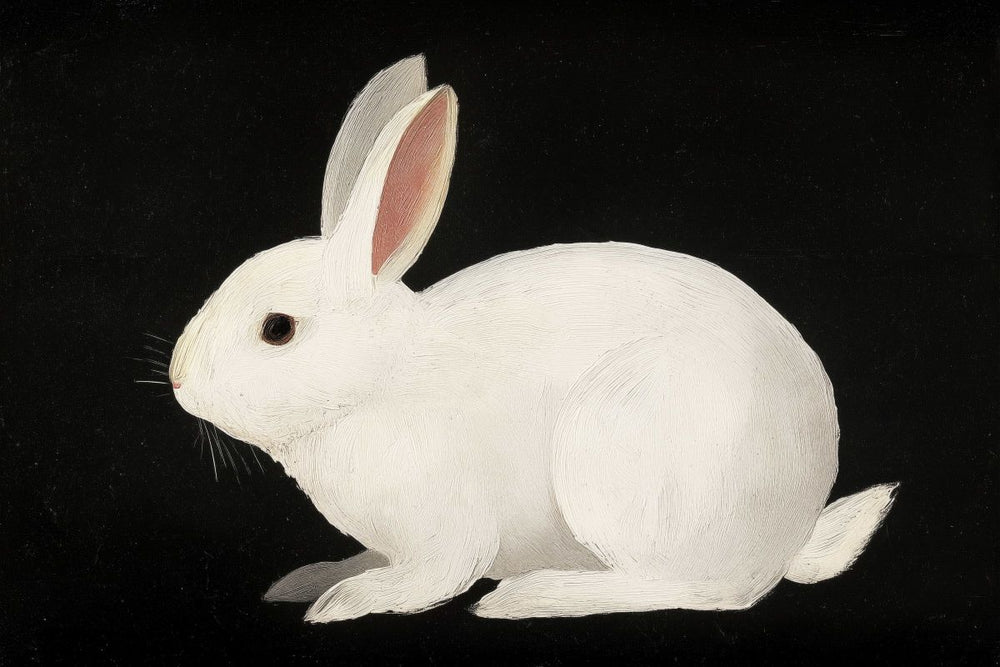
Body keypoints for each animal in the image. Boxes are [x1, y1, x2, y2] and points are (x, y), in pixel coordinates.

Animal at [168, 55, 898, 622]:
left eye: (277, 329)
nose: (177, 378)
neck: (380, 378)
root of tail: (793, 529)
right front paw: (310, 578)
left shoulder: (448, 531)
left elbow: (431, 577)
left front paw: (348, 599)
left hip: (621, 452)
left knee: (707, 589)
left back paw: (531, 597)